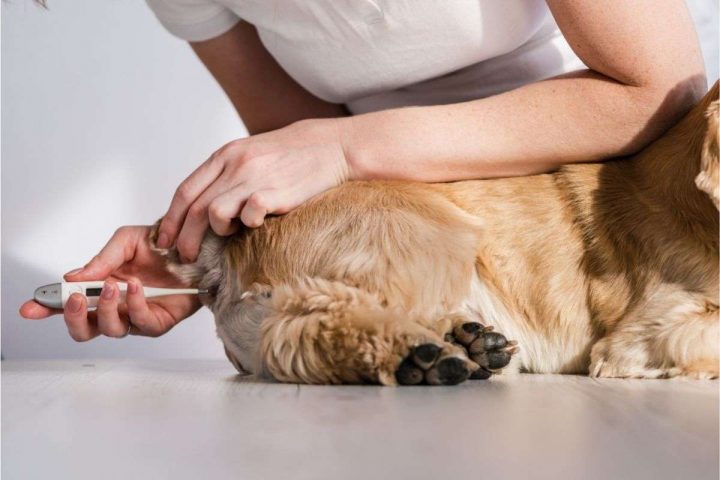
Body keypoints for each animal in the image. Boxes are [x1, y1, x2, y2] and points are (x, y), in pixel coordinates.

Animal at [155, 83, 716, 386]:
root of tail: (221, 246)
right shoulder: (642, 335)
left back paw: (470, 344)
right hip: (428, 238)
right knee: (311, 326)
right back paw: (419, 357)